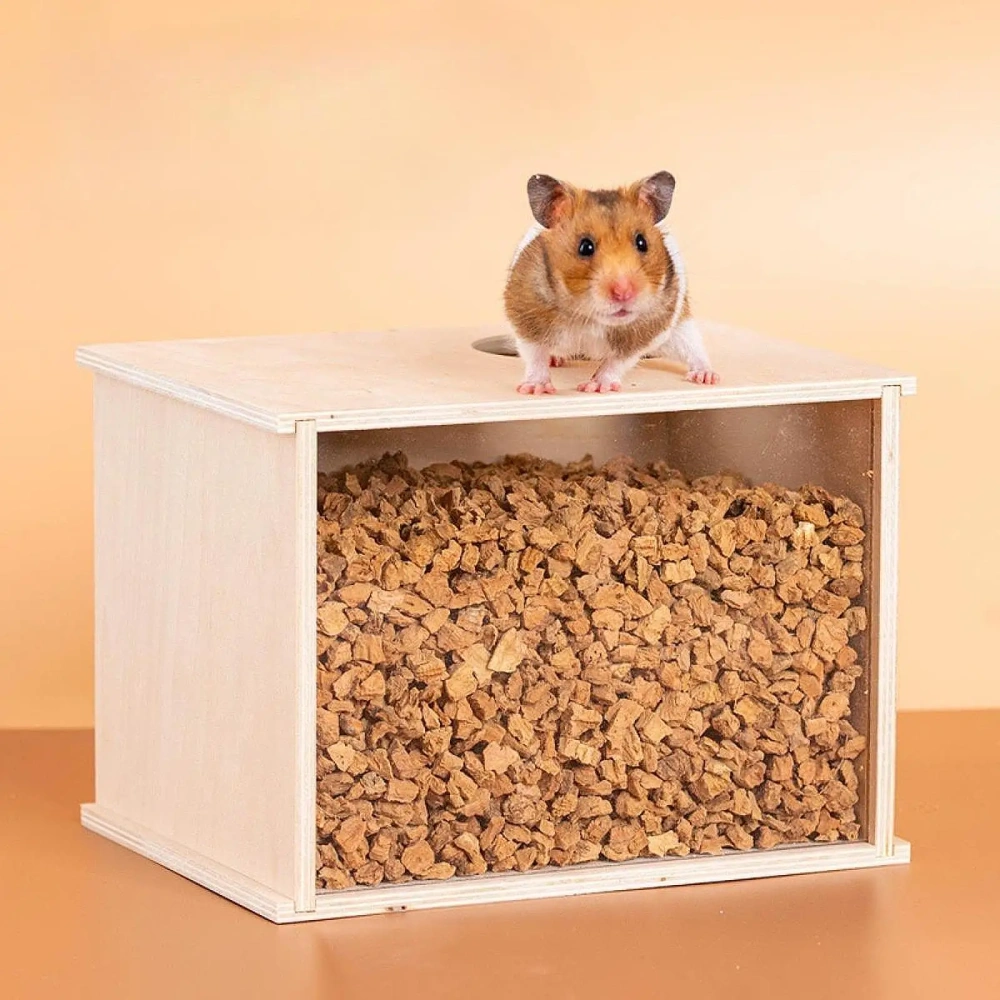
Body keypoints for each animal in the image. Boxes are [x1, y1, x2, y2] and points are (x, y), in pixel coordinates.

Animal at [503, 171, 719, 394]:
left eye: (642, 242)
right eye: (585, 247)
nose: (624, 293)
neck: (591, 319)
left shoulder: (644, 333)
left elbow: (616, 362)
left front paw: (596, 387)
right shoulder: (527, 317)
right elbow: (535, 355)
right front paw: (535, 389)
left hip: (680, 330)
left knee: (693, 350)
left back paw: (707, 377)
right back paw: (555, 360)